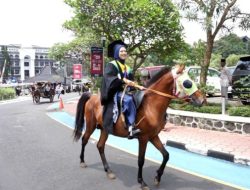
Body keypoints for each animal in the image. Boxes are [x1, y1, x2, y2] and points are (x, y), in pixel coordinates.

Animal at [73, 64, 205, 189]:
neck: (151, 106)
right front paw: (142, 182)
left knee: (100, 146)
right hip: (91, 125)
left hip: (105, 129)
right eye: (187, 83)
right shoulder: (143, 138)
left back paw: (108, 170)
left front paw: (158, 177)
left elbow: (166, 155)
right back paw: (82, 161)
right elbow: (141, 160)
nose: (202, 100)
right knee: (84, 140)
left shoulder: (153, 136)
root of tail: (92, 96)